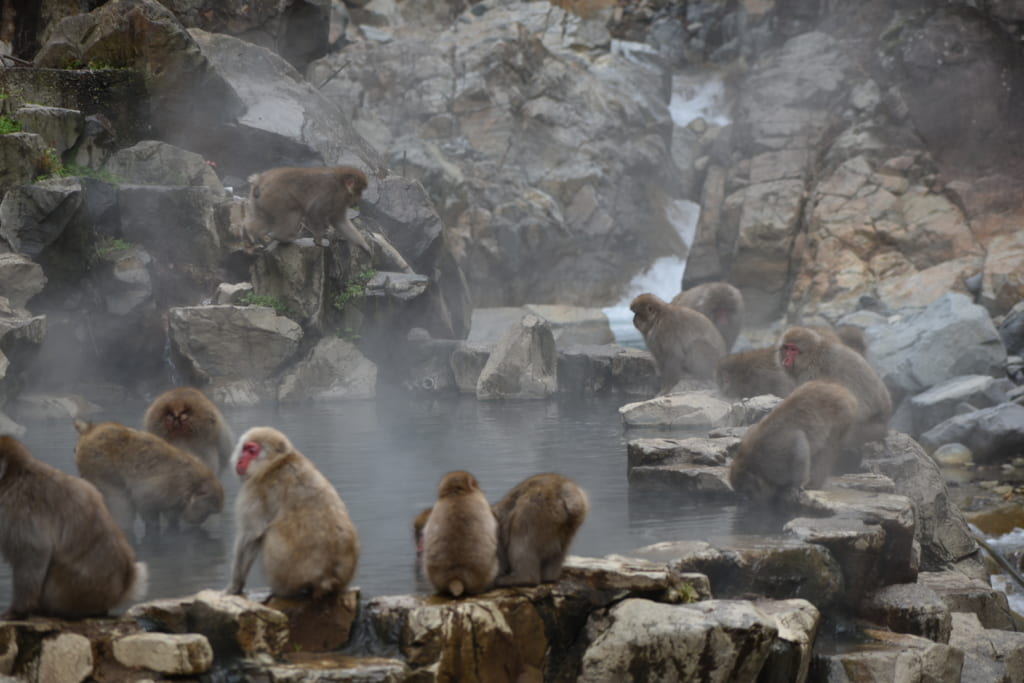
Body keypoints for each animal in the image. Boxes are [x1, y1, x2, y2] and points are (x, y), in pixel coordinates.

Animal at [0, 435, 148, 619]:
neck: (13, 475)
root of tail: (119, 591)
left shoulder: (17, 507)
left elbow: (34, 552)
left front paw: (18, 610)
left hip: (72, 592)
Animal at [74, 419, 225, 538]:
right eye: (208, 512)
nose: (201, 521)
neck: (188, 484)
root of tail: (90, 431)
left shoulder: (174, 496)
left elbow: (171, 512)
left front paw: (173, 526)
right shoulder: (163, 488)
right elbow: (145, 504)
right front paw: (154, 528)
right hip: (99, 466)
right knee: (120, 501)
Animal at [227, 427, 360, 599]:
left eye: (252, 450)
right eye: (244, 449)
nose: (241, 461)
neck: (275, 463)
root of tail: (327, 578)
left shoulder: (256, 489)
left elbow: (251, 535)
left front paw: (235, 586)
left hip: (285, 574)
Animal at [729, 380, 859, 503]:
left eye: (747, 491)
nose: (746, 499)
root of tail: (841, 389)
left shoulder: (775, 451)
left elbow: (799, 444)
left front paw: (794, 487)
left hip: (842, 415)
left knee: (828, 448)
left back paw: (813, 484)